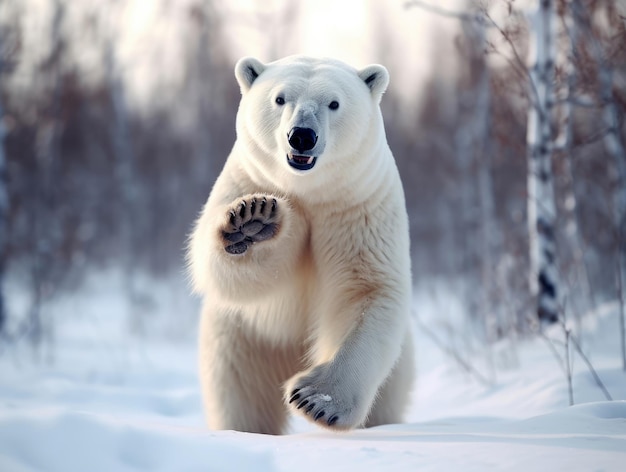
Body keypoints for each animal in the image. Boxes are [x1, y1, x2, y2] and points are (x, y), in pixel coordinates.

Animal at [190, 56, 414, 436]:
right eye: (280, 98)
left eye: (334, 103)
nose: (302, 136)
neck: (308, 191)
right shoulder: (247, 180)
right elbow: (224, 272)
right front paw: (250, 222)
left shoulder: (360, 206)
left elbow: (368, 290)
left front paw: (316, 401)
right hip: (242, 342)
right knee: (240, 399)